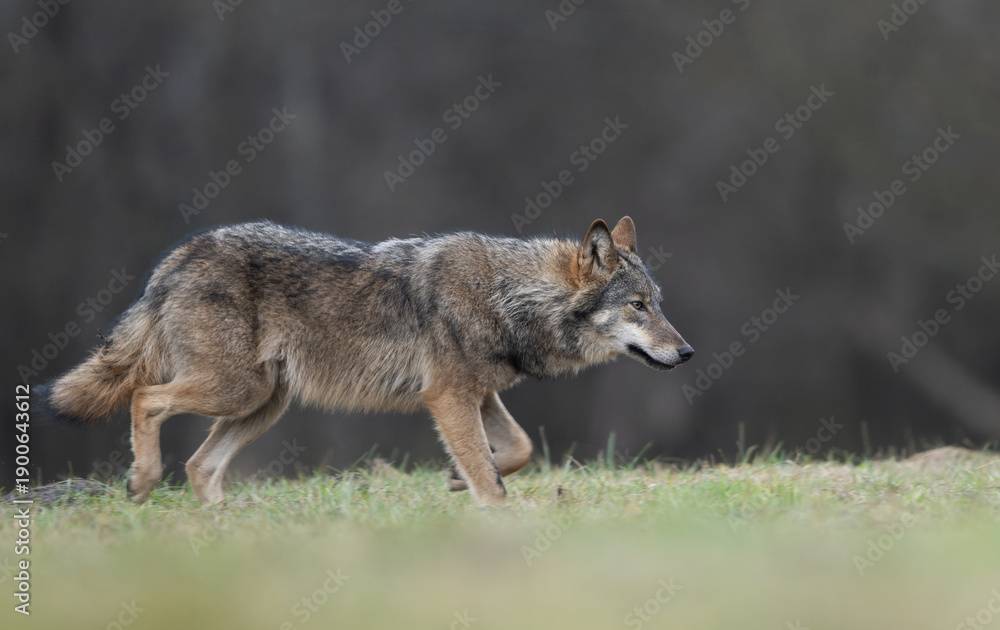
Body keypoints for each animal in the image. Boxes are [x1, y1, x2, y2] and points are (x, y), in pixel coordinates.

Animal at [43, 216, 693, 507]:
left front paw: (455, 478)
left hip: (263, 404)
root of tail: (174, 259)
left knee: (201, 465)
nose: (686, 352)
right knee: (144, 398)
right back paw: (142, 481)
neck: (509, 295)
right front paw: (491, 507)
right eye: (638, 306)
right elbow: (492, 476)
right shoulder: (449, 396)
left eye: (659, 303)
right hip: (235, 391)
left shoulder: (478, 394)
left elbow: (518, 449)